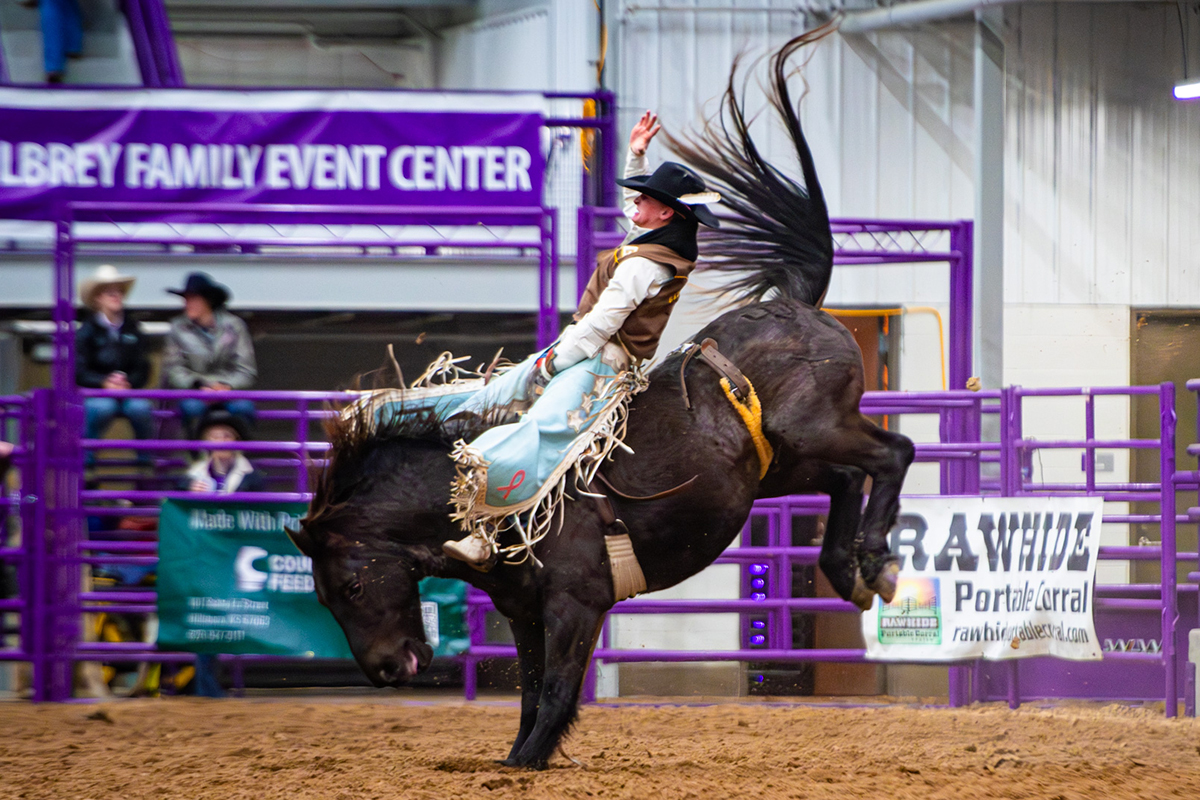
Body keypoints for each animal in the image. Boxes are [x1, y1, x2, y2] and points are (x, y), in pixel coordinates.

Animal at [288, 26, 914, 770]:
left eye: (352, 586)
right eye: (322, 598)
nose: (387, 670)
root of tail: (796, 303)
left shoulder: (574, 603)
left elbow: (557, 691)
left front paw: (530, 759)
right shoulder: (525, 612)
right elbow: (531, 694)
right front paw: (515, 761)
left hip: (818, 426)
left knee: (893, 451)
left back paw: (878, 560)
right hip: (782, 463)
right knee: (848, 476)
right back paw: (849, 572)